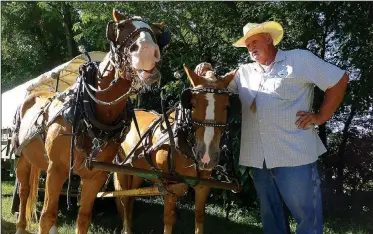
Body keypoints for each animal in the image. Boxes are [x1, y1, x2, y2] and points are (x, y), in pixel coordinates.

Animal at [13, 9, 166, 234]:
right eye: (120, 28)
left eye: (156, 35)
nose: (148, 51)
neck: (90, 115)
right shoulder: (56, 169)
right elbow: (46, 215)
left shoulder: (95, 177)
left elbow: (84, 217)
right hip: (22, 157)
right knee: (24, 193)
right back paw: (21, 226)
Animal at [112, 64, 235, 234]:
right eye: (192, 104)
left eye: (227, 106)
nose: (206, 156)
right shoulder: (170, 187)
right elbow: (169, 219)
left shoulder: (203, 187)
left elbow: (199, 217)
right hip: (121, 167)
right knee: (123, 196)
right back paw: (126, 229)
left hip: (137, 171)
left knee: (131, 195)